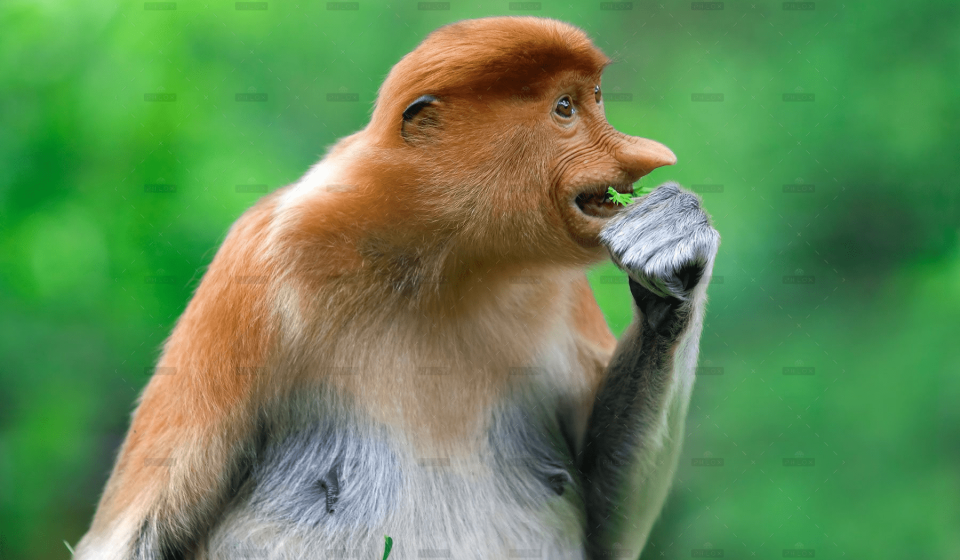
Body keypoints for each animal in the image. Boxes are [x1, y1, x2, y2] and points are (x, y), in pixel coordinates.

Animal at [74, 16, 719, 560]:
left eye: (597, 98)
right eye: (565, 107)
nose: (649, 156)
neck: (441, 262)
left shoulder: (559, 290)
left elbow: (610, 522)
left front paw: (672, 246)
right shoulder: (257, 267)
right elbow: (133, 537)